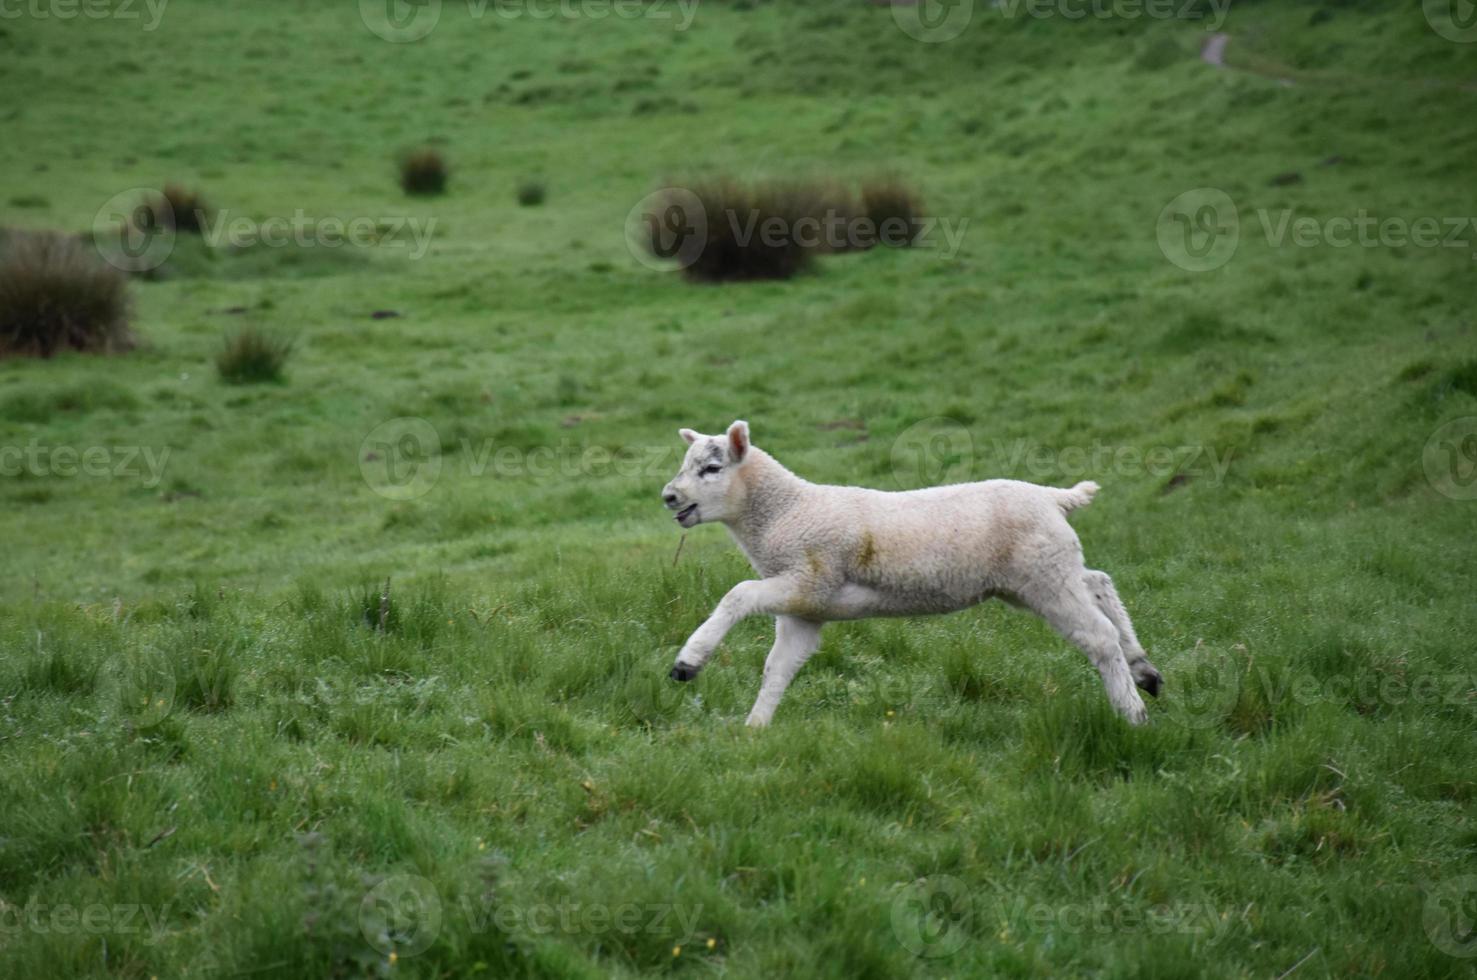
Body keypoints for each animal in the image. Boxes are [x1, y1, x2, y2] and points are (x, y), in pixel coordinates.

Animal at [661, 422, 1163, 726]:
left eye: (712, 468)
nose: (669, 496)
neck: (785, 512)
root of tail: (1052, 496)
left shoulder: (809, 577)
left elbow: (738, 594)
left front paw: (689, 661)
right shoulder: (806, 608)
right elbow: (778, 669)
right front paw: (755, 729)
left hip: (1045, 576)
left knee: (1098, 636)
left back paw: (1133, 713)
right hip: (1042, 573)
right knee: (1099, 582)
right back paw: (1144, 670)